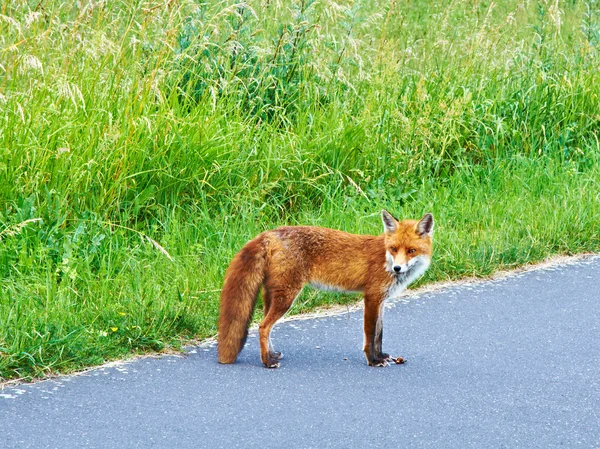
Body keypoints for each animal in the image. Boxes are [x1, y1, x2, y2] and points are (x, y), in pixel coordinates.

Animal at [218, 210, 434, 368]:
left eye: (411, 251)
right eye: (394, 249)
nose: (397, 268)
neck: (385, 259)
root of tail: (270, 233)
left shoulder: (381, 300)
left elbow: (379, 334)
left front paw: (381, 356)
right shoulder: (371, 297)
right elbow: (370, 334)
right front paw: (373, 360)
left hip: (274, 295)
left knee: (266, 327)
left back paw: (272, 355)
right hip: (286, 297)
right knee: (263, 327)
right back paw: (267, 362)